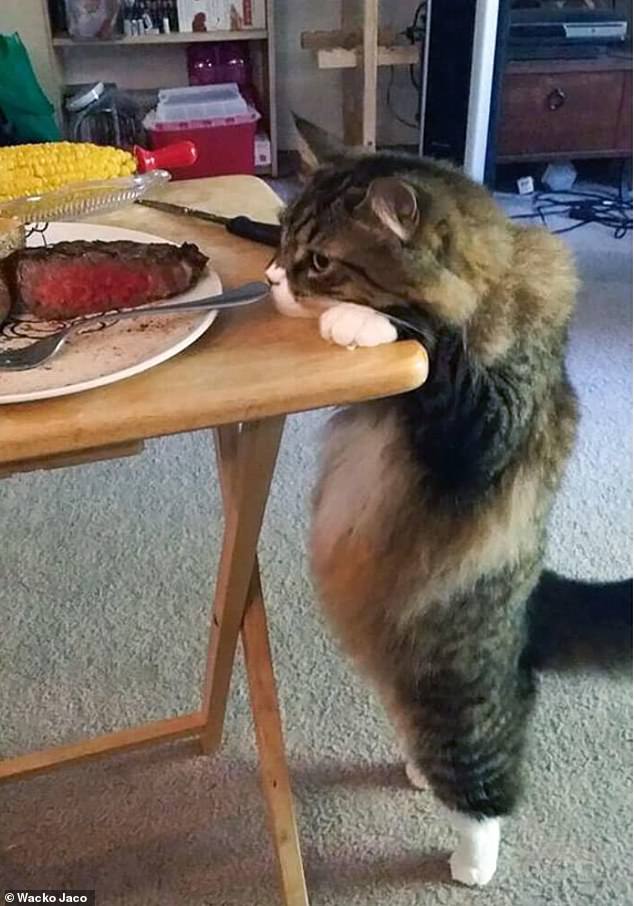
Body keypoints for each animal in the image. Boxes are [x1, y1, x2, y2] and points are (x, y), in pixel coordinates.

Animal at [266, 119, 632, 887]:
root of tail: (532, 608)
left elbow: (430, 341)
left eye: (319, 261)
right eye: (281, 236)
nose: (272, 278)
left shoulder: (483, 427)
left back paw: (471, 864)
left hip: (457, 702)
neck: (493, 283)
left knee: (485, 792)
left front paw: (360, 322)